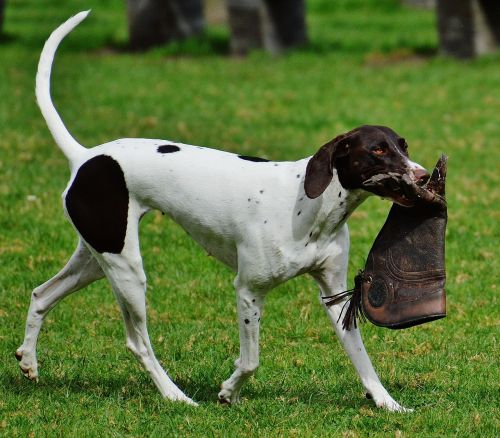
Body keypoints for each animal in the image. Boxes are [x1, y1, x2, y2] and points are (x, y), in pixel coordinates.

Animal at [15, 12, 430, 412]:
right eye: (377, 150)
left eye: (403, 145)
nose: (424, 177)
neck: (310, 208)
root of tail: (85, 157)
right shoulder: (248, 291)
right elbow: (250, 361)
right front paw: (229, 392)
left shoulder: (335, 295)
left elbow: (362, 359)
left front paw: (387, 402)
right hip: (127, 271)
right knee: (139, 343)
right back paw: (176, 396)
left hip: (98, 258)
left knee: (41, 295)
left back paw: (29, 362)